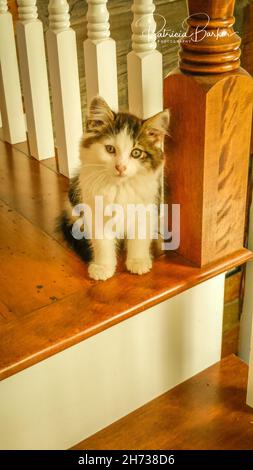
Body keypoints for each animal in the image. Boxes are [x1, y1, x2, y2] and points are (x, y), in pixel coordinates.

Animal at [60, 95, 169, 280]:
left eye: (136, 153)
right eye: (110, 149)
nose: (121, 167)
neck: (119, 189)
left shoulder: (147, 208)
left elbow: (139, 238)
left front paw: (138, 261)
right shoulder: (95, 213)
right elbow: (102, 243)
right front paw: (103, 267)